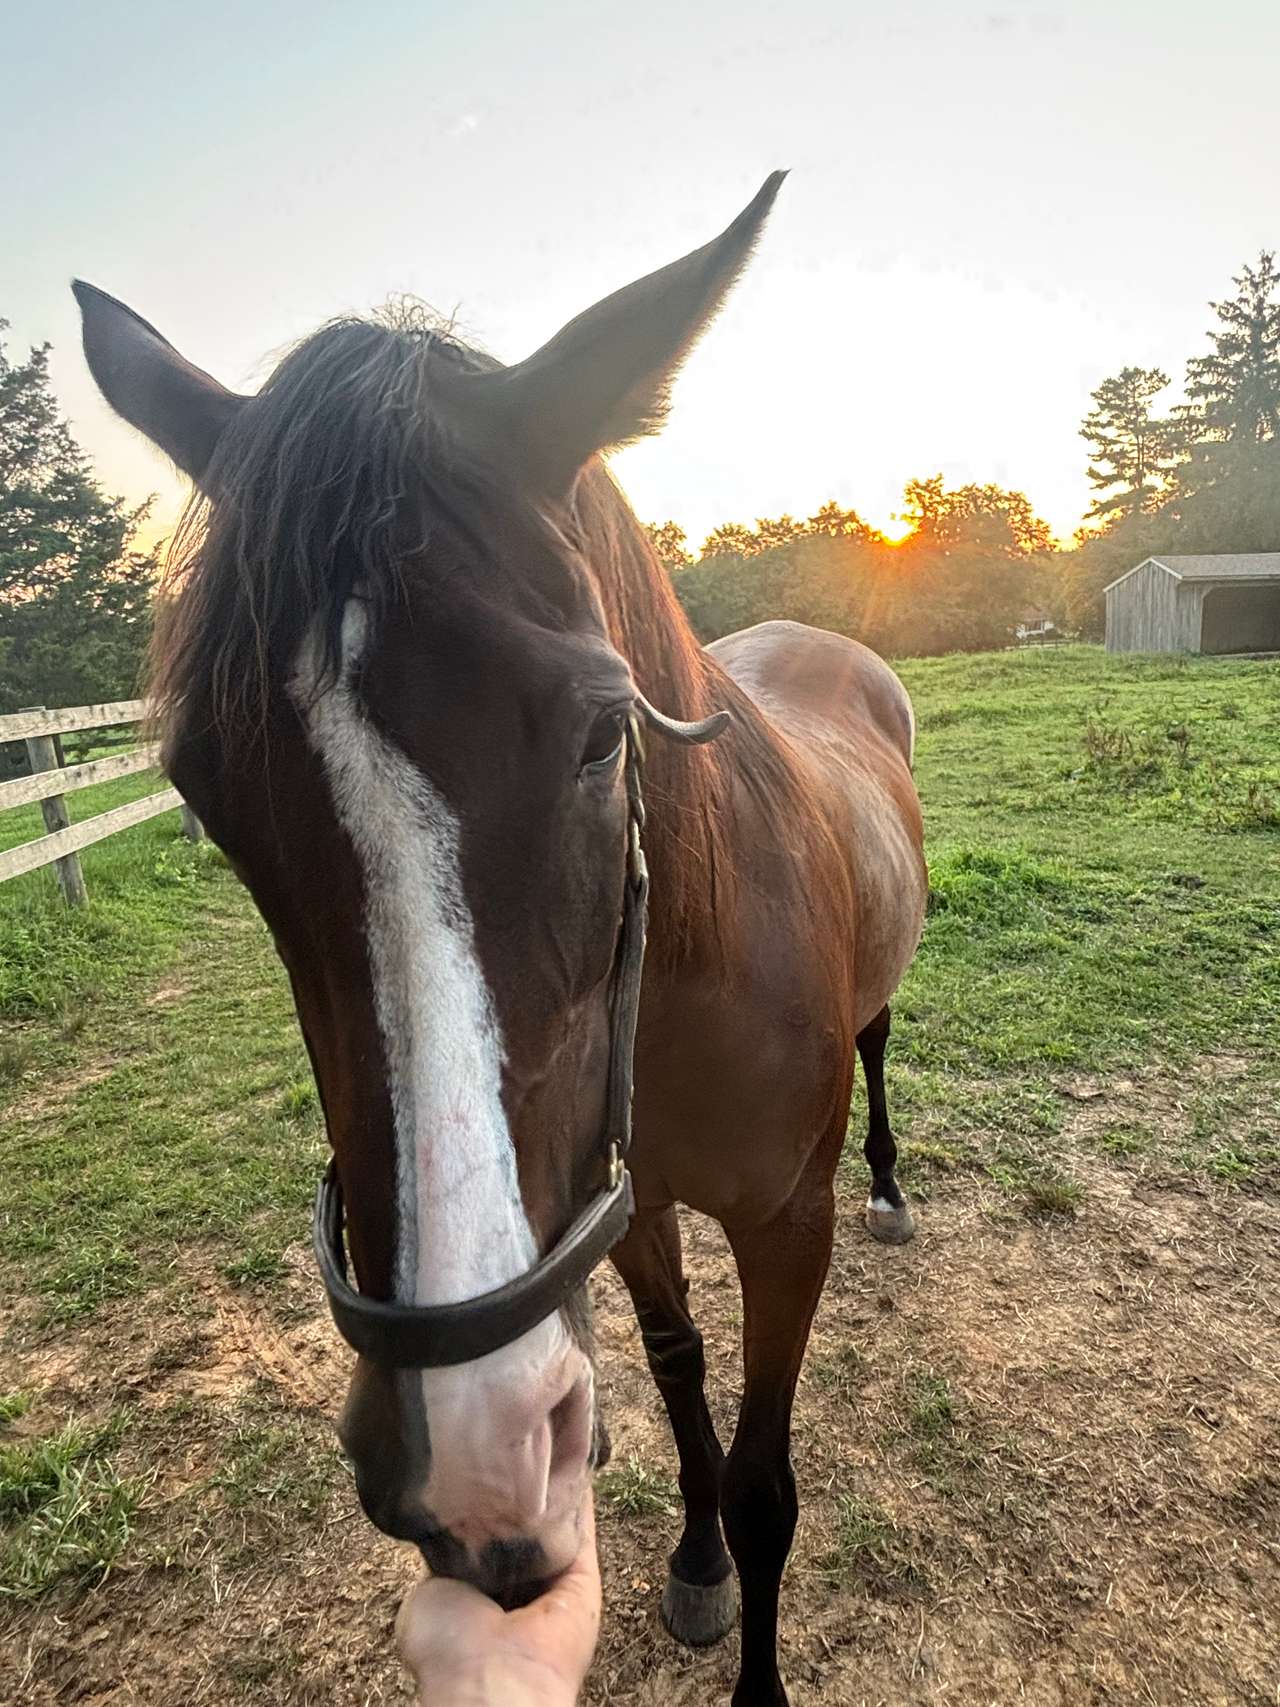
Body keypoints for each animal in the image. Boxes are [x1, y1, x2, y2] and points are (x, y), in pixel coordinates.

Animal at [74, 173, 927, 1707]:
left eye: (600, 731)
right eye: (202, 793)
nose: (464, 1451)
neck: (681, 989)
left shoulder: (787, 1227)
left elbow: (768, 1478)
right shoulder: (620, 1211)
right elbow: (680, 1372)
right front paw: (694, 1561)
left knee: (886, 1049)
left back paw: (899, 1179)